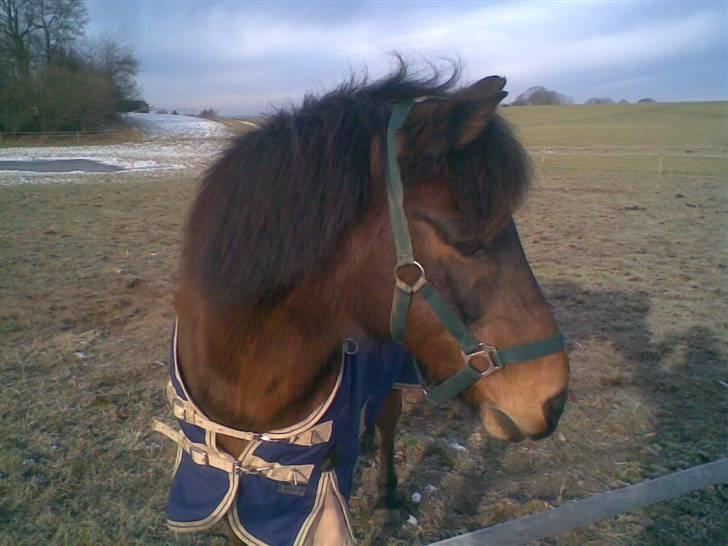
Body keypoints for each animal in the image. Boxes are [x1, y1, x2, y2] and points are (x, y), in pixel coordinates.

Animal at [169, 62, 568, 540]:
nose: (553, 399)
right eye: (469, 243)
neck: (242, 379)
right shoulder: (225, 489)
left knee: (387, 417)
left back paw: (386, 497)